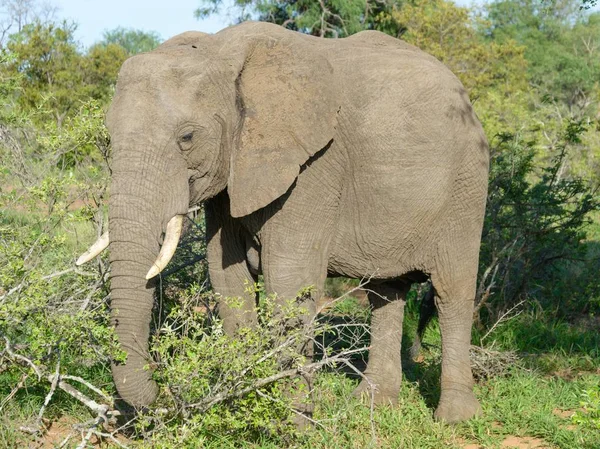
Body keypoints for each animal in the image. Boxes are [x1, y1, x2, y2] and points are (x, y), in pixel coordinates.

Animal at [76, 21, 488, 422]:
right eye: (109, 136)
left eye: (187, 137)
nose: (160, 392)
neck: (219, 50)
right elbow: (227, 276)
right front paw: (242, 411)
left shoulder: (315, 165)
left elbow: (290, 278)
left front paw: (292, 422)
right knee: (385, 292)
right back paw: (372, 406)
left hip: (467, 187)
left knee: (451, 291)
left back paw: (455, 419)